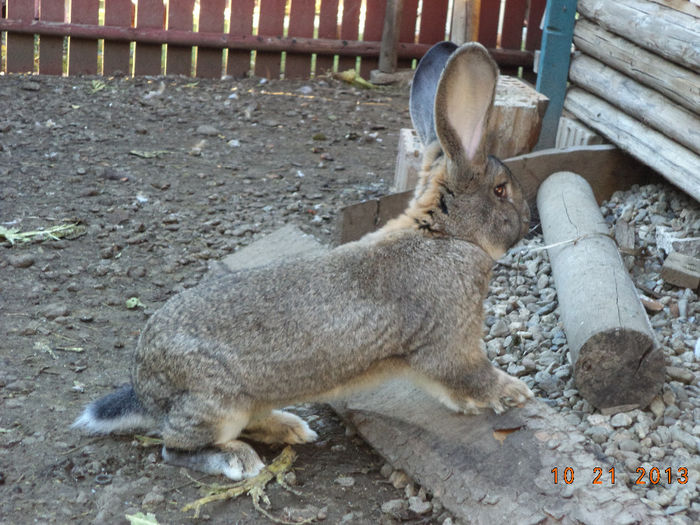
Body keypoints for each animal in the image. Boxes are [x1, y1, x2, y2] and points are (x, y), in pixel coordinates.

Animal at [72, 42, 532, 478]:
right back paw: (240, 460)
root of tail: (146, 389)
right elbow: (470, 376)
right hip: (217, 402)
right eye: (501, 190)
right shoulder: (450, 342)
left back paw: (291, 428)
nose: (528, 221)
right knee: (176, 448)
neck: (444, 234)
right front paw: (515, 393)